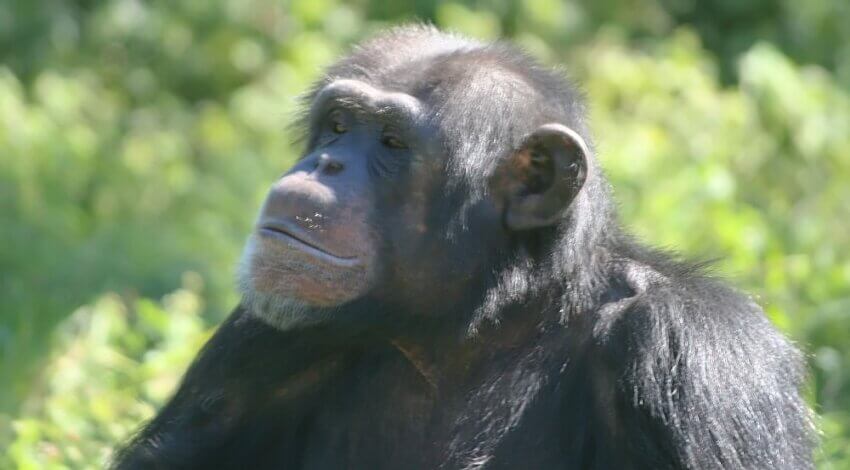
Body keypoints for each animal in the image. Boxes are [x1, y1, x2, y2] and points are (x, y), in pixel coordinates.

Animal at [109, 26, 812, 470]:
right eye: (337, 125)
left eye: (392, 143)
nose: (325, 164)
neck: (471, 328)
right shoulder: (260, 337)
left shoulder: (698, 351)